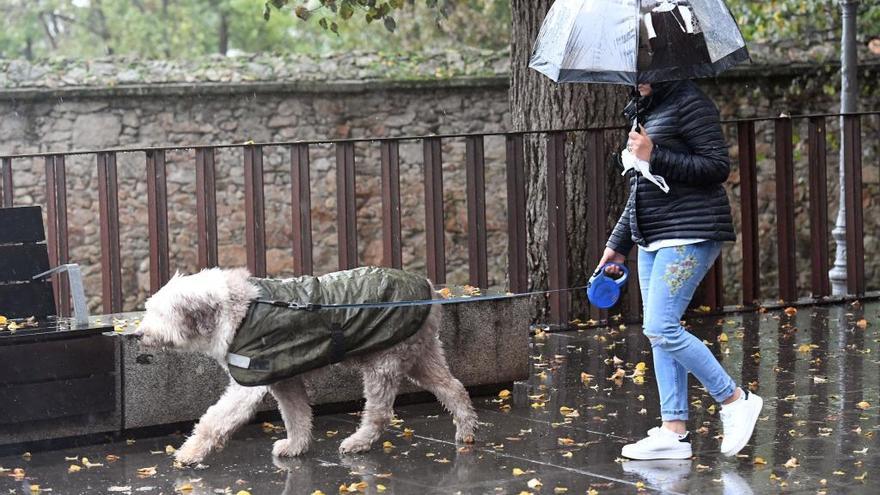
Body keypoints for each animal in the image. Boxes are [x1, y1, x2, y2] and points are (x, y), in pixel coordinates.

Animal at [138, 268, 478, 464]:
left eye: (159, 313)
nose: (140, 333)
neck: (236, 308)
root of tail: (430, 289)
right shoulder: (284, 379)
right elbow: (297, 415)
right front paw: (295, 447)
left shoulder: (250, 379)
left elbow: (215, 419)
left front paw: (189, 453)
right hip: (419, 354)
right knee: (453, 388)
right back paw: (466, 431)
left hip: (385, 360)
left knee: (380, 413)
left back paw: (358, 442)